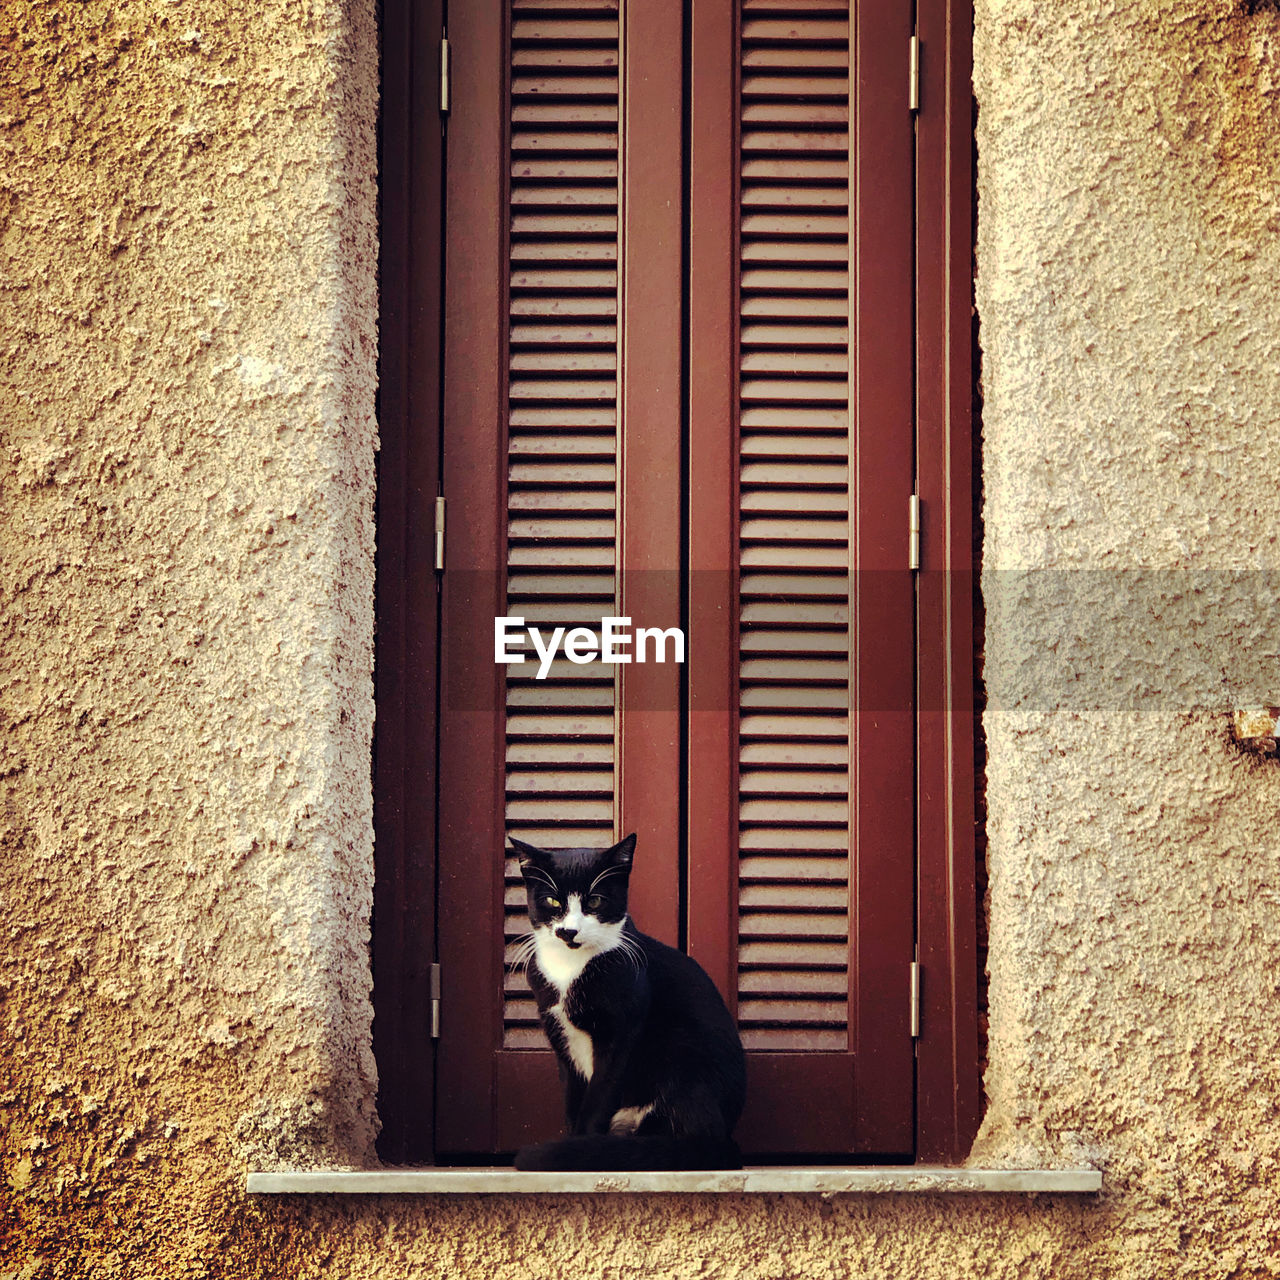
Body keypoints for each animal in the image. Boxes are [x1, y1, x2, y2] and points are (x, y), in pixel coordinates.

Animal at [509, 829, 747, 1172]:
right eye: (552, 900)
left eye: (595, 900)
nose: (568, 931)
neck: (570, 969)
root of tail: (726, 1140)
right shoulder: (561, 1039)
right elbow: (573, 1097)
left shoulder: (621, 1032)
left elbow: (599, 1097)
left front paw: (575, 1151)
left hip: (684, 1059)